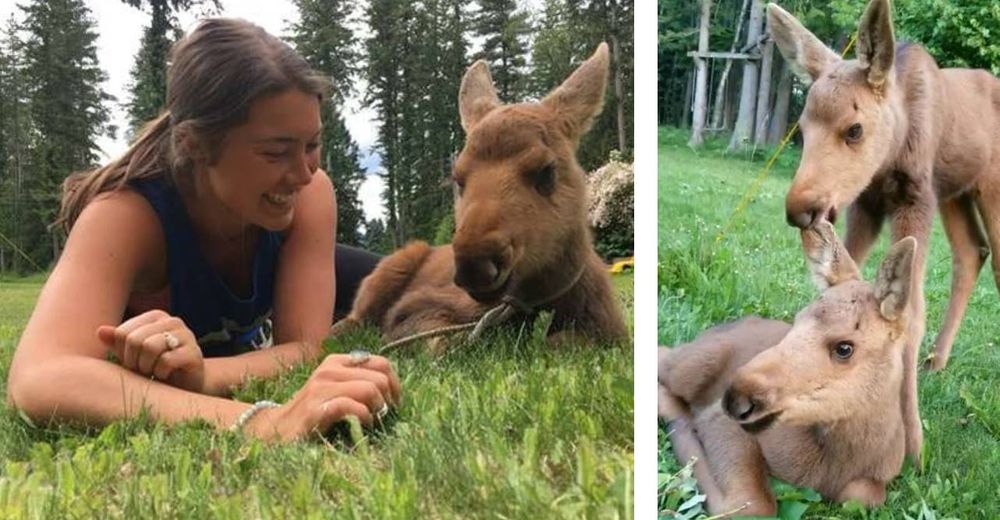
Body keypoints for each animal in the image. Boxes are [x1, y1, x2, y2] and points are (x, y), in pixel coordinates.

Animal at [332, 43, 628, 350]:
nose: (474, 263)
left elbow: (564, 341)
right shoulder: (412, 309)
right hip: (388, 270)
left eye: (547, 171)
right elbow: (438, 340)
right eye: (458, 178)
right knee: (350, 320)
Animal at [660, 222, 916, 516]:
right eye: (796, 320)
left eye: (844, 348)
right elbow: (752, 504)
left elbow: (863, 496)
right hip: (693, 366)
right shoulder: (718, 419)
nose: (736, 398)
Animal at [772, 0, 1000, 464]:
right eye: (802, 129)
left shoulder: (916, 198)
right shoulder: (867, 202)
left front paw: (913, 443)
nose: (800, 208)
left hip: (988, 186)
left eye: (854, 129)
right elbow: (841, 276)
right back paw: (937, 360)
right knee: (972, 252)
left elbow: (911, 309)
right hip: (956, 194)